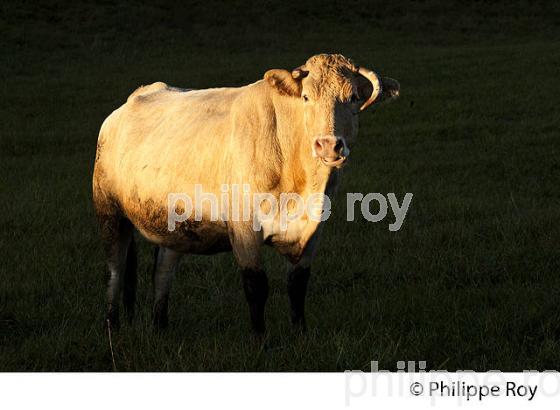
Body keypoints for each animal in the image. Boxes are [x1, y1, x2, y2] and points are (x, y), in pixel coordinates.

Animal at [93, 52, 398, 334]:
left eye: (354, 97)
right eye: (306, 97)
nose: (328, 145)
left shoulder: (314, 232)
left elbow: (298, 285)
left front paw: (301, 335)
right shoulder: (244, 231)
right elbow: (256, 286)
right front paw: (261, 341)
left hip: (174, 223)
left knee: (163, 272)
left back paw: (160, 328)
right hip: (110, 213)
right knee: (114, 271)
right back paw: (111, 328)